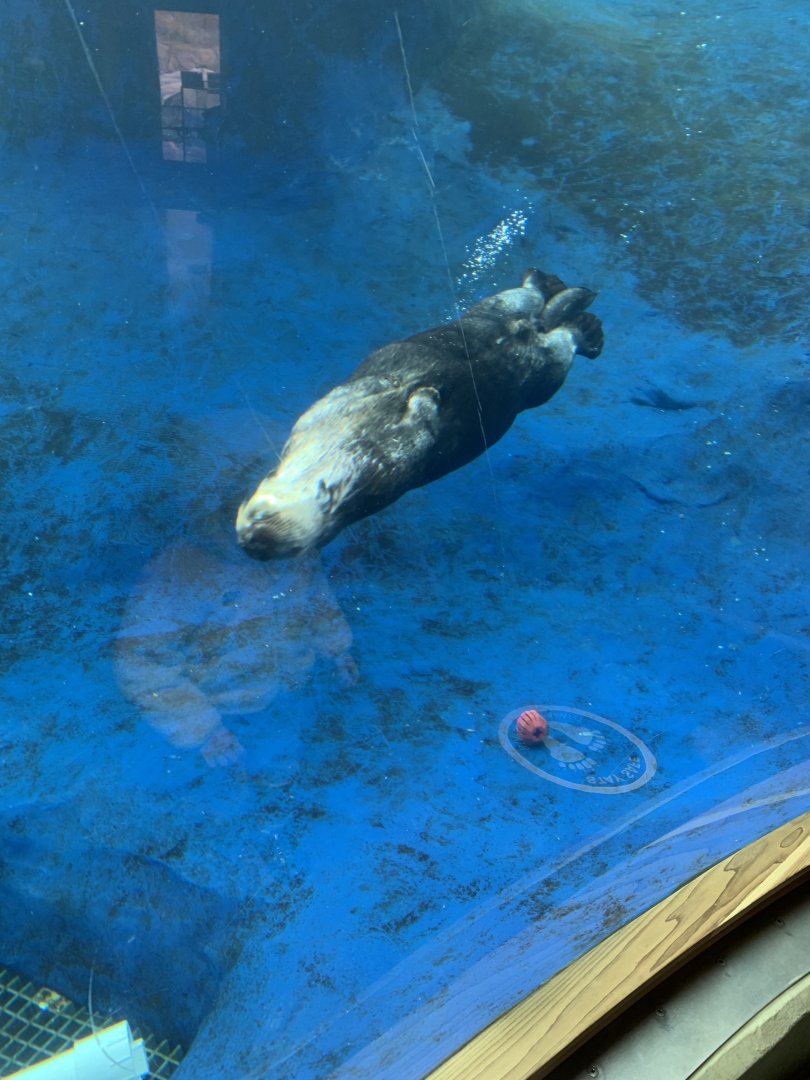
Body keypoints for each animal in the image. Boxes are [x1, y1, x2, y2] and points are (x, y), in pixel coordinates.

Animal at [236, 269, 603, 559]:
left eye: (258, 517)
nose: (250, 536)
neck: (345, 445)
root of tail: (529, 329)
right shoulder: (389, 463)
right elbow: (423, 431)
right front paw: (425, 396)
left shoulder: (324, 411)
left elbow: (376, 386)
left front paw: (411, 389)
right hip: (543, 375)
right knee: (561, 341)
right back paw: (588, 329)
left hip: (493, 311)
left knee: (527, 297)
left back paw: (550, 283)